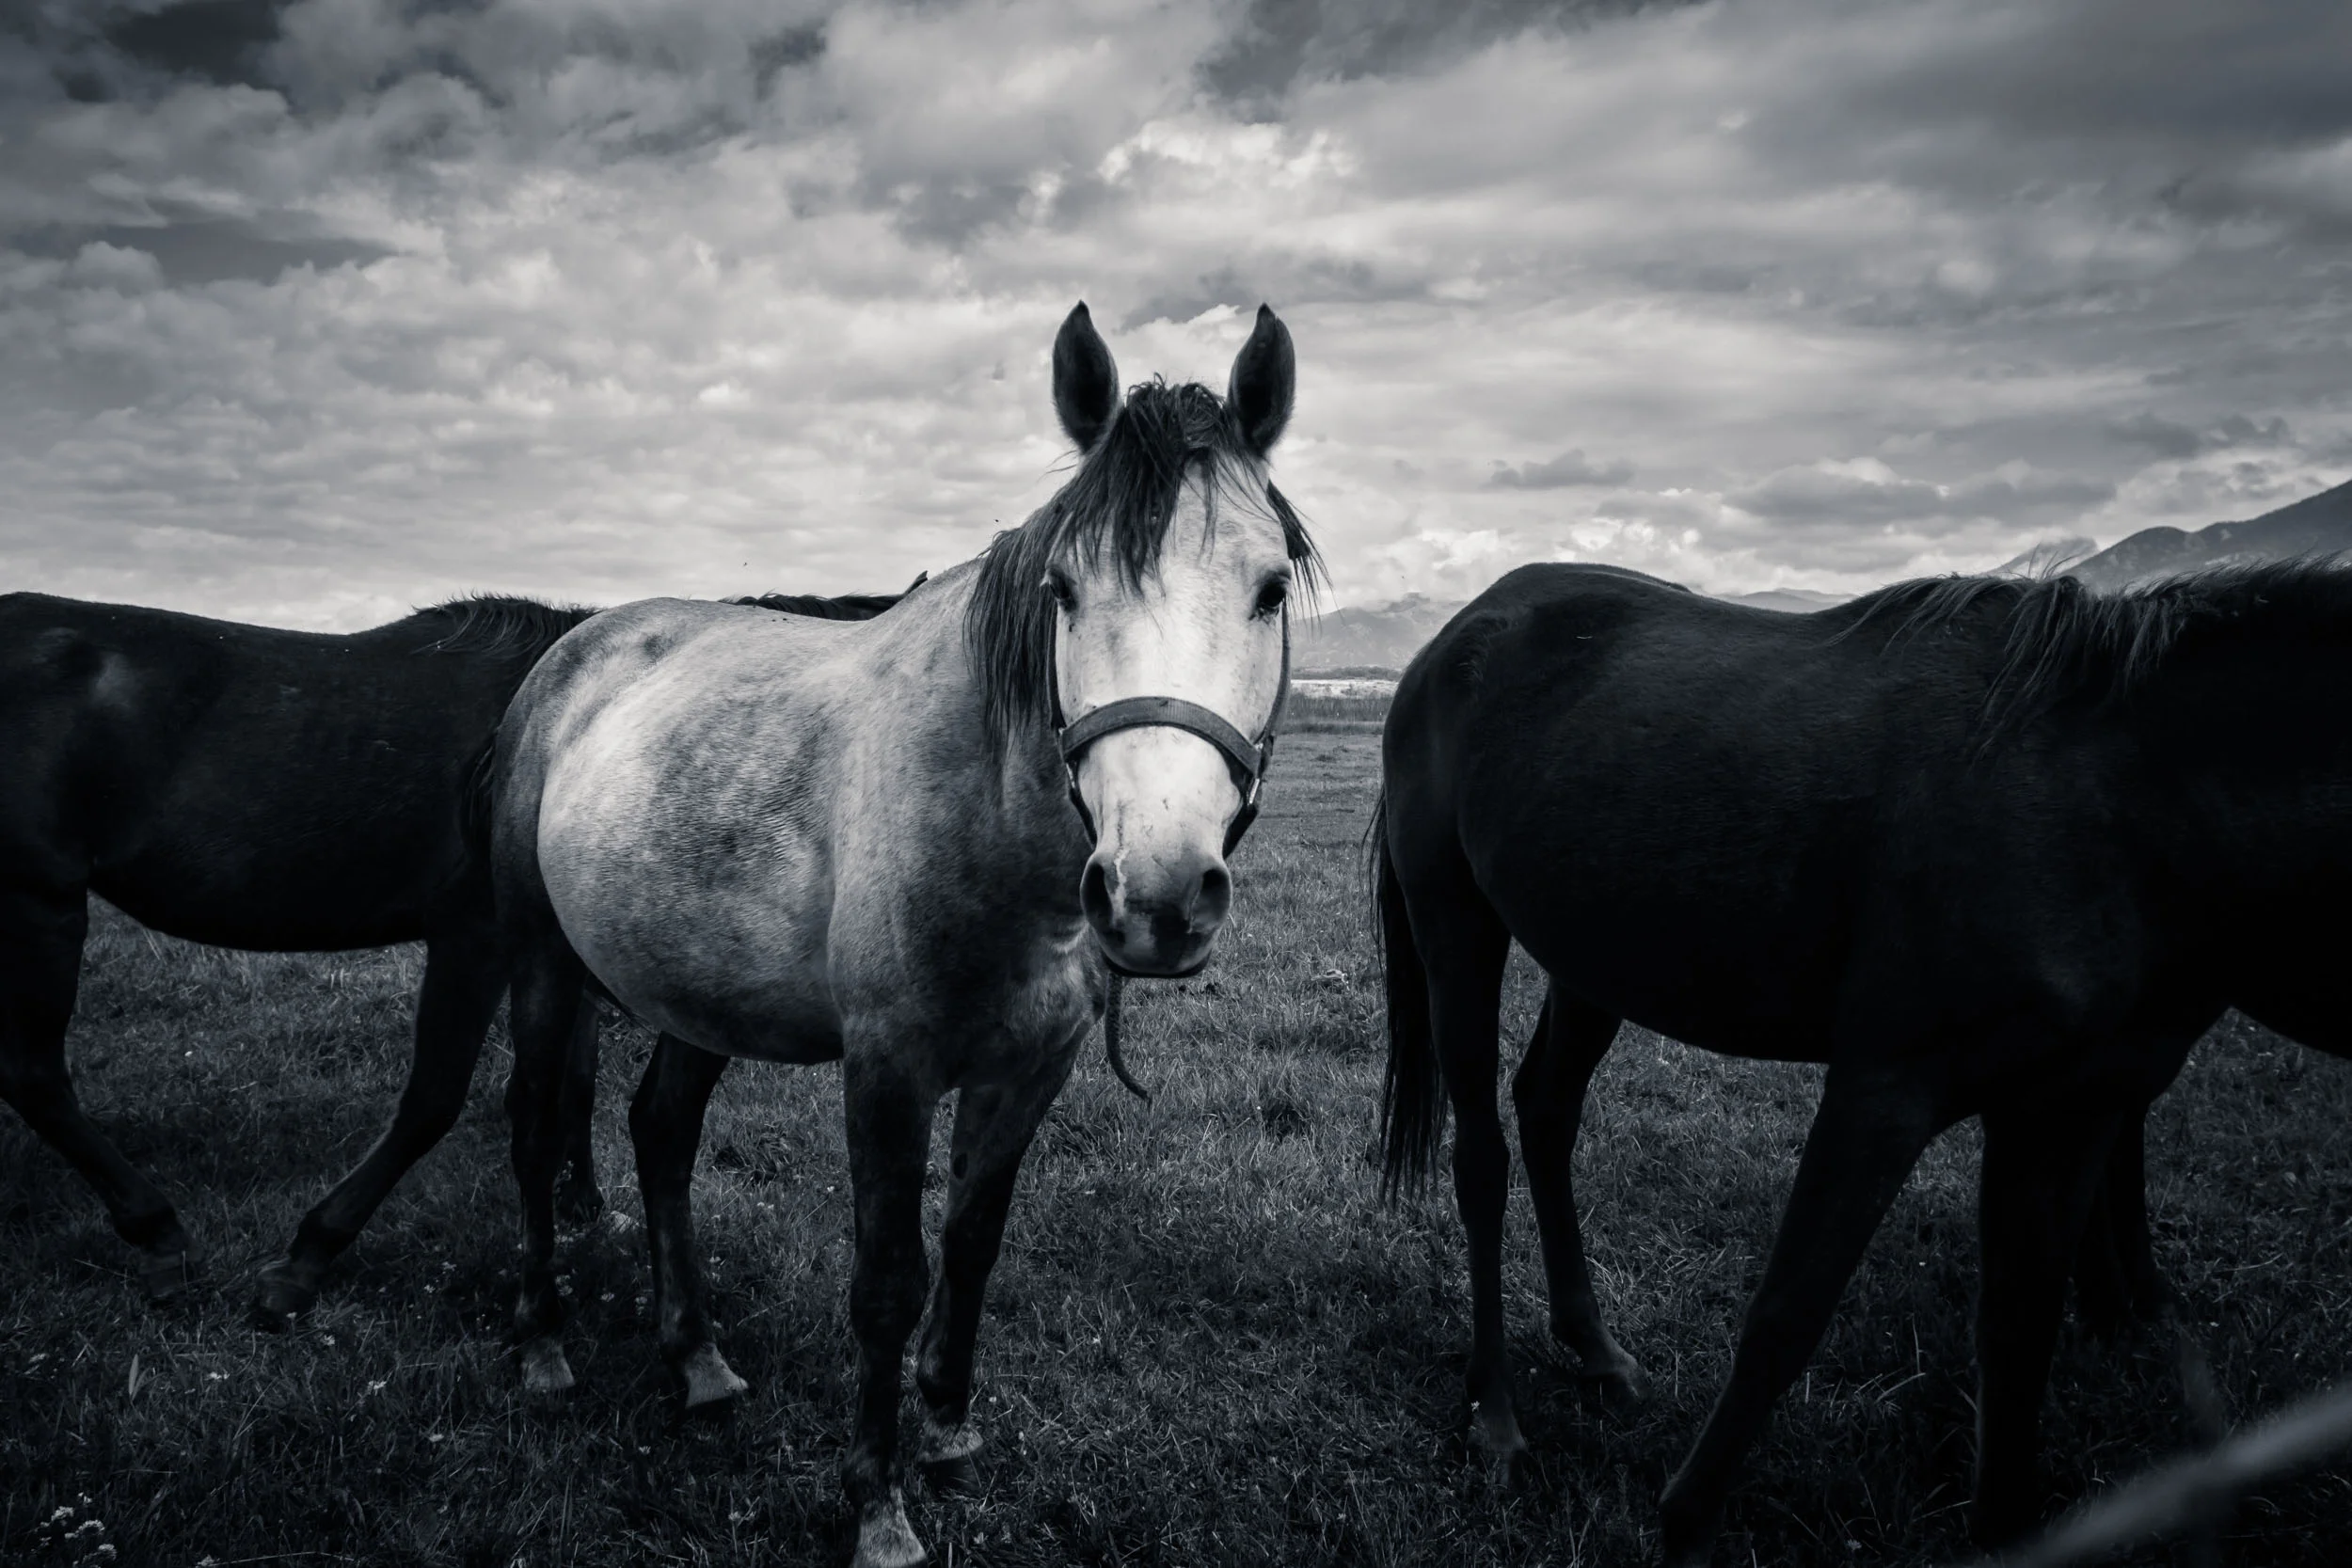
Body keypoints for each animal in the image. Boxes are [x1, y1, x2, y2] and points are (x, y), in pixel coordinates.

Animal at [0, 584, 903, 1318]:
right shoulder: (478, 939)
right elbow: (437, 1098)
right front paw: (309, 1256)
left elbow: (571, 1085)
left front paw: (581, 1203)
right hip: (40, 901)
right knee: (36, 1076)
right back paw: (157, 1231)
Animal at [484, 302, 1315, 1568]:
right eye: (1064, 590)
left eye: (1267, 588)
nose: (1158, 890)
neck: (997, 833)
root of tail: (574, 652)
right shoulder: (887, 1068)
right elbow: (887, 1275)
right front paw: (875, 1500)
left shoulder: (1030, 1068)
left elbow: (971, 1242)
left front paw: (948, 1424)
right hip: (542, 964)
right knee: (537, 1130)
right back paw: (541, 1342)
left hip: (694, 993)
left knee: (661, 1132)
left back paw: (698, 1357)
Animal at [1373, 557, 2352, 1562]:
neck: (2115, 791)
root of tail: (1453, 637)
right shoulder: (1886, 1086)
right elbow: (1787, 1311)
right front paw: (1685, 1521)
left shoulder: (2066, 1107)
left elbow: (2019, 1333)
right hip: (1454, 925)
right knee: (1481, 1156)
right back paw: (1496, 1418)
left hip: (1591, 961)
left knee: (1546, 1112)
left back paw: (1596, 1351)